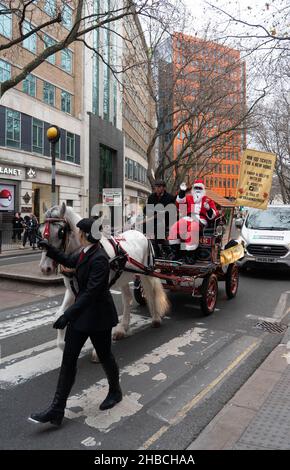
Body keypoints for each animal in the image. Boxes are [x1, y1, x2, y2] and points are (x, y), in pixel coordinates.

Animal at [38, 202, 170, 356]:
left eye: (61, 232)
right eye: (40, 232)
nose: (45, 268)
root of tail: (140, 234)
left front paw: (97, 352)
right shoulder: (71, 290)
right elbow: (60, 313)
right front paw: (63, 344)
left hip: (146, 273)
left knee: (150, 293)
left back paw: (155, 319)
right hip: (123, 277)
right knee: (127, 299)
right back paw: (122, 328)